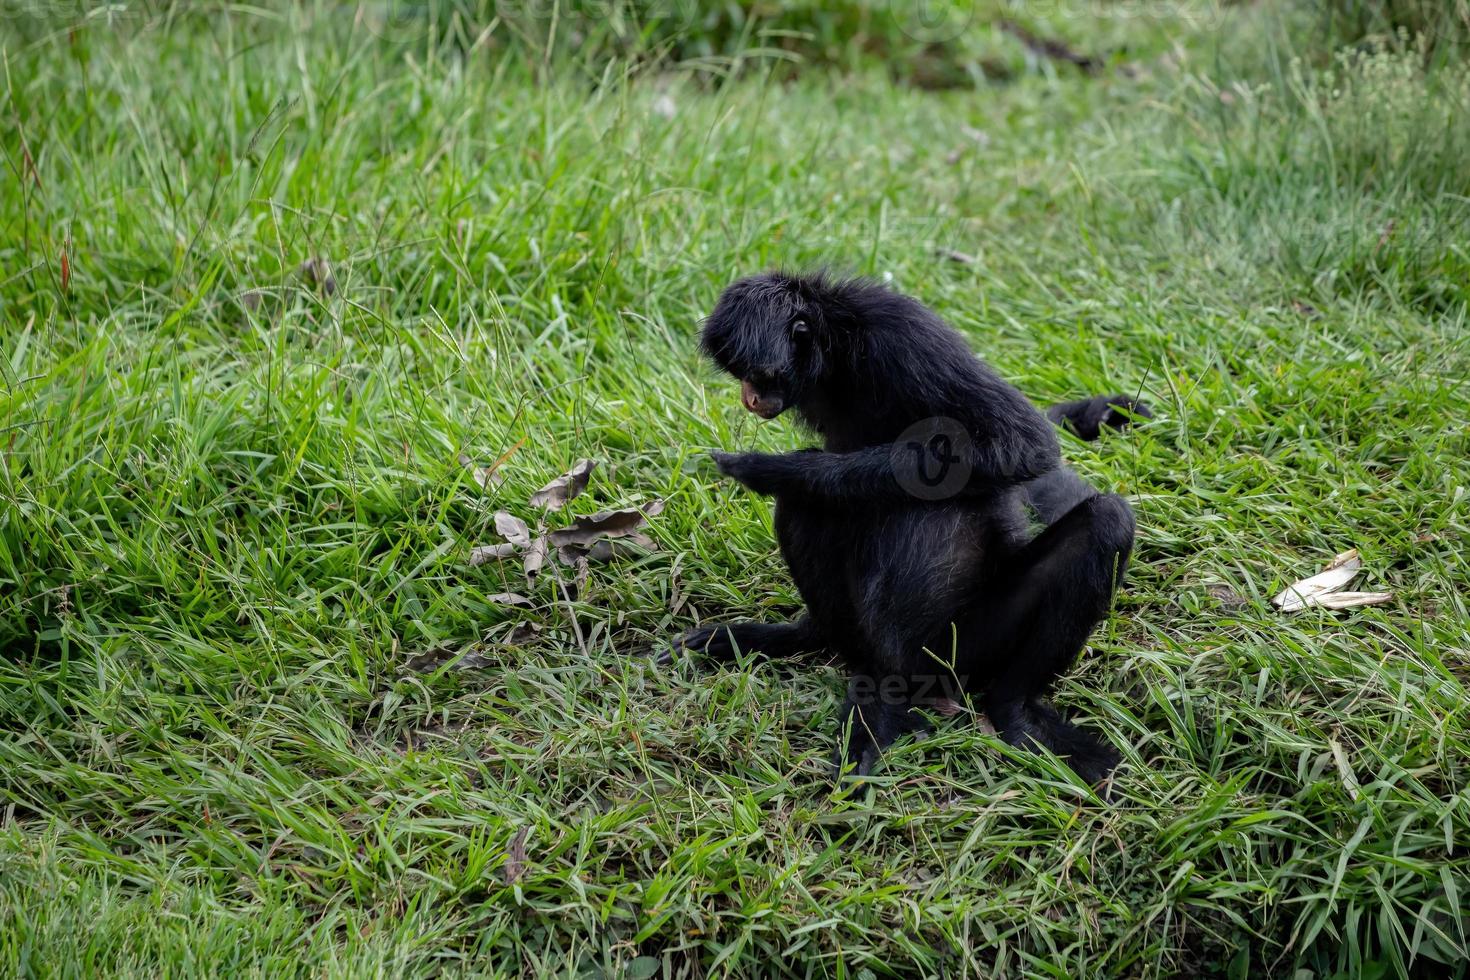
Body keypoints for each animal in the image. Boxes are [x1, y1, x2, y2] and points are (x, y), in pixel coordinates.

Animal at [676, 270, 1146, 787]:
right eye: (742, 375)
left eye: (758, 375)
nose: (750, 396)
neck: (842, 353)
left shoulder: (904, 335)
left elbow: (1027, 444)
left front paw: (779, 468)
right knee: (812, 508)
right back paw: (817, 643)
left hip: (968, 644)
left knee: (1105, 520)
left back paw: (999, 706)